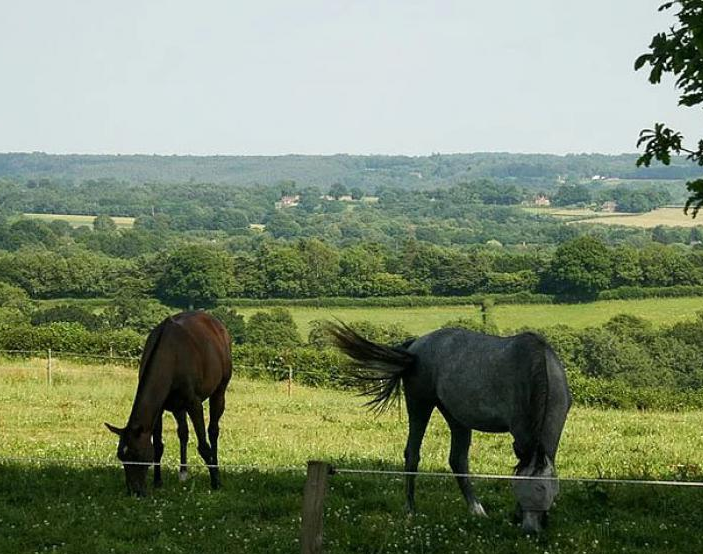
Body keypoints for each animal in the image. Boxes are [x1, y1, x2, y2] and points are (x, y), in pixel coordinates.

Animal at [104, 310, 232, 496]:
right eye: (122, 457)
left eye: (138, 455)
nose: (135, 492)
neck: (171, 356)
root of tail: (217, 324)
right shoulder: (160, 408)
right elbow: (158, 445)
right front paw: (158, 481)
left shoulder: (194, 403)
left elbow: (203, 446)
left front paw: (215, 482)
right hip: (178, 406)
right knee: (183, 432)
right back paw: (183, 472)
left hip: (219, 390)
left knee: (213, 430)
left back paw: (215, 470)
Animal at [330, 322, 572, 532]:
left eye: (544, 490)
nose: (530, 530)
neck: (535, 368)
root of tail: (416, 345)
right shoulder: (521, 430)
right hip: (420, 405)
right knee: (412, 454)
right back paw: (411, 509)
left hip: (456, 418)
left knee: (457, 460)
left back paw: (477, 511)